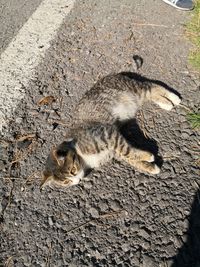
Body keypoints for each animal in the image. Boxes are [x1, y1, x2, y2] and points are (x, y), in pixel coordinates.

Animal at [41, 59, 181, 188]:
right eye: (65, 182)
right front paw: (149, 167)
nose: (77, 181)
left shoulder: (108, 134)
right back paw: (167, 102)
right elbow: (129, 157)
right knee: (151, 92)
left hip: (134, 89)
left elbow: (127, 151)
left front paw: (147, 156)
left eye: (72, 170)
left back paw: (172, 99)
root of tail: (112, 75)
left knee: (152, 86)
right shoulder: (114, 149)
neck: (82, 156)